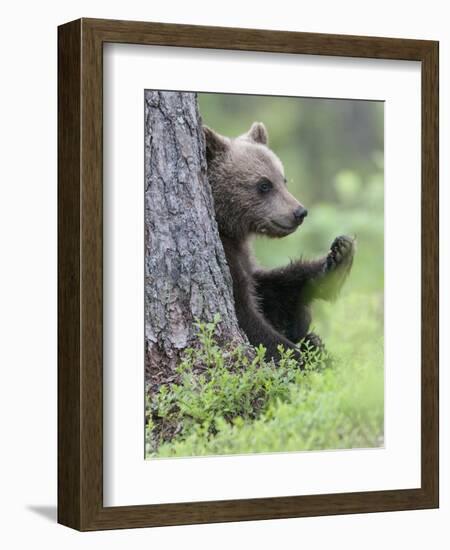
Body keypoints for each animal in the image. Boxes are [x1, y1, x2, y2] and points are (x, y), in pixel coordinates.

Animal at [204, 121, 356, 362]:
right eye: (264, 184)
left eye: (283, 180)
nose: (299, 212)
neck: (227, 227)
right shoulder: (227, 256)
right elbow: (250, 320)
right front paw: (304, 360)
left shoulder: (244, 256)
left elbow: (271, 290)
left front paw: (338, 257)